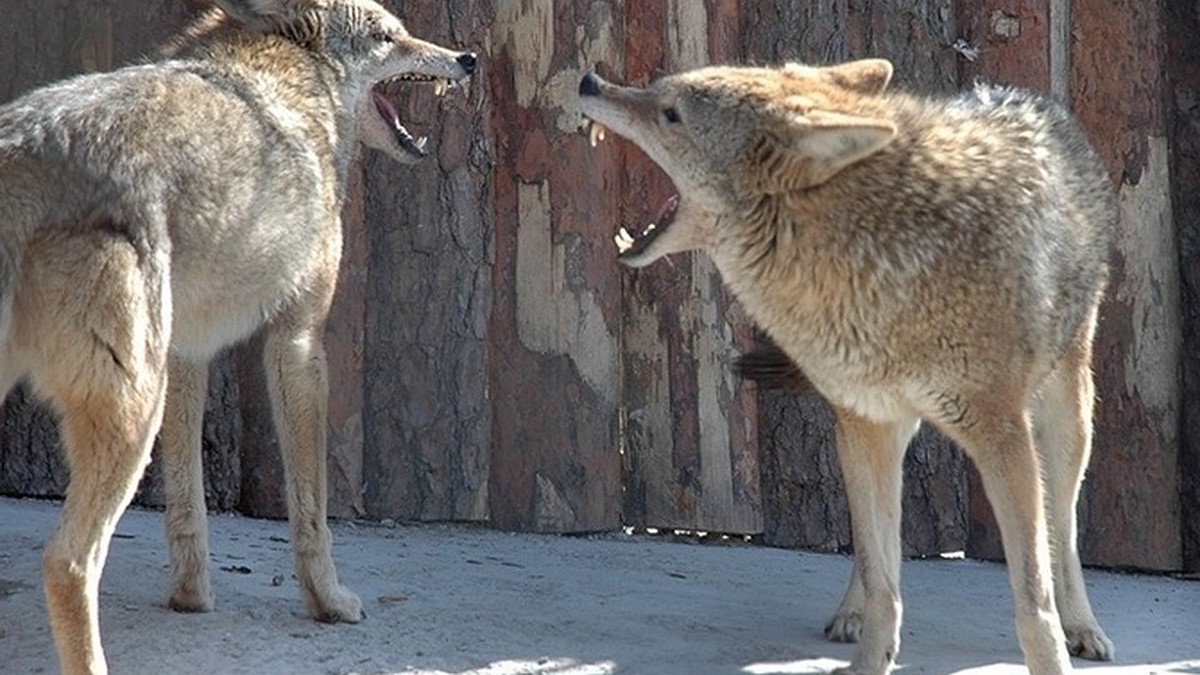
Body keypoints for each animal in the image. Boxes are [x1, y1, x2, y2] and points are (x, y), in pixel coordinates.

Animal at [0, 2, 477, 667]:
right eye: (389, 37)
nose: (469, 58)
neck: (296, 79)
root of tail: (24, 150)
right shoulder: (299, 342)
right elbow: (311, 508)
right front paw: (328, 603)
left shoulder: (186, 354)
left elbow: (187, 502)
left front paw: (191, 596)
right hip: (133, 413)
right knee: (69, 563)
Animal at [580, 59, 1113, 672]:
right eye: (656, 93)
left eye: (670, 113)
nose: (589, 82)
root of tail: (1029, 97)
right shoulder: (870, 421)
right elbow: (885, 583)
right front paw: (870, 652)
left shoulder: (1005, 439)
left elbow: (1033, 598)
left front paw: (1054, 652)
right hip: (871, 434)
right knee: (872, 550)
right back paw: (850, 613)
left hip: (1065, 424)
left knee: (1063, 532)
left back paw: (1084, 626)